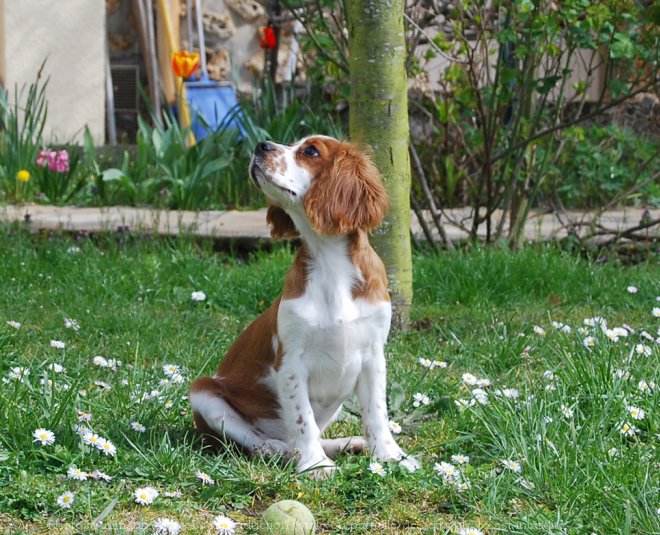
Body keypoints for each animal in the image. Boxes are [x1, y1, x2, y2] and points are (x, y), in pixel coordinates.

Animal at [188, 136, 412, 480]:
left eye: (310, 151)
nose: (261, 145)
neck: (329, 260)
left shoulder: (374, 355)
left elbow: (377, 413)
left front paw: (390, 456)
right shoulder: (290, 359)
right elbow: (301, 418)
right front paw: (315, 465)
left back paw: (347, 444)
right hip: (203, 393)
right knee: (255, 438)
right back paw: (276, 449)